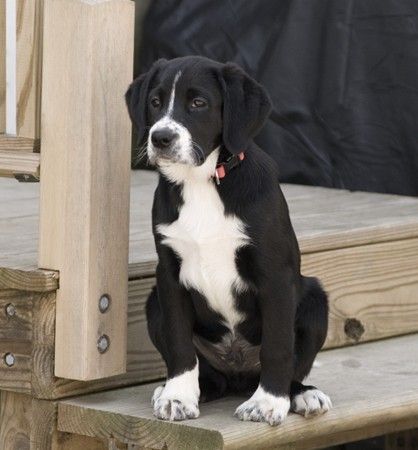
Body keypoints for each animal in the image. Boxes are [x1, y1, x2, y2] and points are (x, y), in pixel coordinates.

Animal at [125, 56, 332, 426]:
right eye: (155, 102)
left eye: (198, 103)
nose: (160, 137)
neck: (202, 181)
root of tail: (238, 373)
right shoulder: (169, 275)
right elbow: (180, 343)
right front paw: (178, 397)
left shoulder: (275, 275)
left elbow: (278, 345)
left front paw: (268, 403)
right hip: (153, 302)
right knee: (208, 373)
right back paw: (191, 388)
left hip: (314, 299)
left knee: (291, 363)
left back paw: (301, 394)